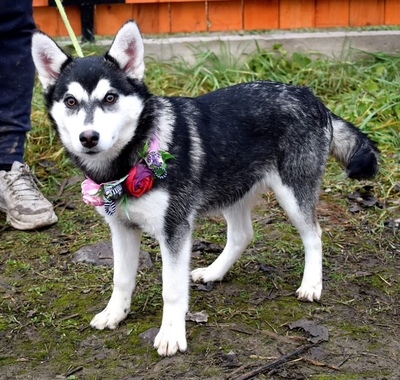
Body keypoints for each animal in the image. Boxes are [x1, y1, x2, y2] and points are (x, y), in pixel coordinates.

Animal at [32, 20, 378, 356]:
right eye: (71, 101)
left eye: (110, 98)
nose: (88, 137)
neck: (130, 157)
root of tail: (312, 97)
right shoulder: (121, 227)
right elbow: (121, 278)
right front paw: (115, 313)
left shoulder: (175, 230)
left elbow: (172, 289)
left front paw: (171, 335)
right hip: (234, 189)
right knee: (242, 235)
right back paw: (214, 272)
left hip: (292, 192)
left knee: (314, 234)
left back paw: (311, 285)